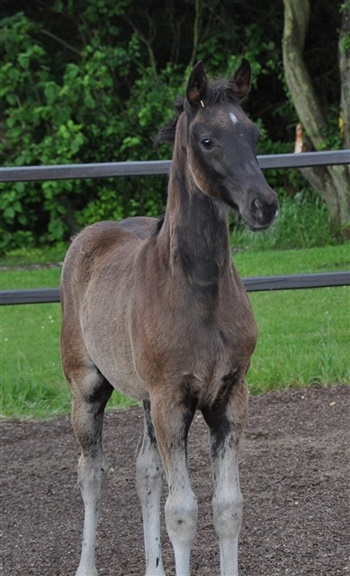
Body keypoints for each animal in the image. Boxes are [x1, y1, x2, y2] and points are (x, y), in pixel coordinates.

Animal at [60, 59, 278, 576]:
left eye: (254, 134)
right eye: (207, 139)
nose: (265, 204)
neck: (198, 292)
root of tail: (84, 240)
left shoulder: (229, 397)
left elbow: (227, 507)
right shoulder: (171, 399)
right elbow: (182, 512)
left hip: (143, 398)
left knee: (146, 471)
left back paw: (153, 566)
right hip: (87, 386)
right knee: (92, 472)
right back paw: (86, 565)